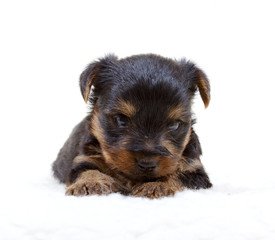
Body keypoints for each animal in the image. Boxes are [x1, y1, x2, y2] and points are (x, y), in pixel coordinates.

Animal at [52, 54, 213, 199]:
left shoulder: (194, 170)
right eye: (121, 119)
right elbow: (86, 170)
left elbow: (177, 174)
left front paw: (155, 185)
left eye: (174, 125)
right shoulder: (86, 157)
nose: (147, 164)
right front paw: (92, 183)